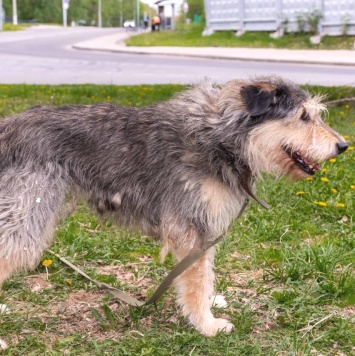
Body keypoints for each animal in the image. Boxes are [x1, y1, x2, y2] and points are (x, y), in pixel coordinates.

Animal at [0, 76, 350, 336]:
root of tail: (8, 128)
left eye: (314, 114)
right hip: (25, 215)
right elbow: (196, 281)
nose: (343, 145)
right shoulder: (192, 227)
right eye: (303, 117)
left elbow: (204, 274)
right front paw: (207, 325)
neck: (221, 137)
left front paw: (209, 307)